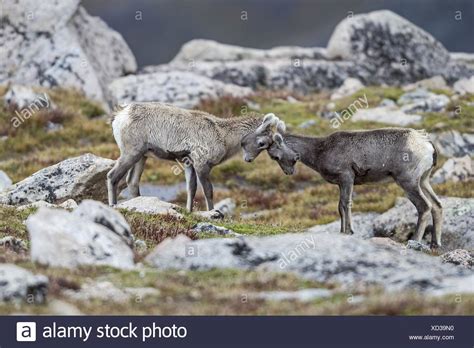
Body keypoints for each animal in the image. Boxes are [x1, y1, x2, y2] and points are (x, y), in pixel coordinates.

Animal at [107, 102, 282, 212]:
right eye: (262, 142)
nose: (249, 160)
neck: (223, 135)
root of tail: (119, 116)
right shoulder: (201, 164)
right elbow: (208, 191)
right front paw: (213, 213)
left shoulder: (188, 164)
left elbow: (191, 188)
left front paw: (189, 211)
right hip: (131, 153)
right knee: (112, 176)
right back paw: (113, 206)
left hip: (142, 157)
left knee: (132, 182)